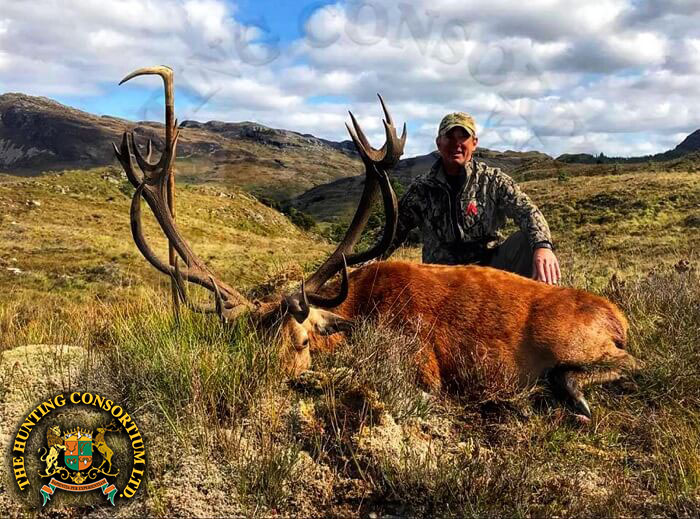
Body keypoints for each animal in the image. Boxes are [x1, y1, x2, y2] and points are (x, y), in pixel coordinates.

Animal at [114, 66, 641, 420]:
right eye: (248, 341)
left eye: (301, 340)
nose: (259, 391)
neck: (357, 311)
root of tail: (619, 316)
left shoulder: (422, 363)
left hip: (573, 341)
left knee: (622, 364)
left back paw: (573, 395)